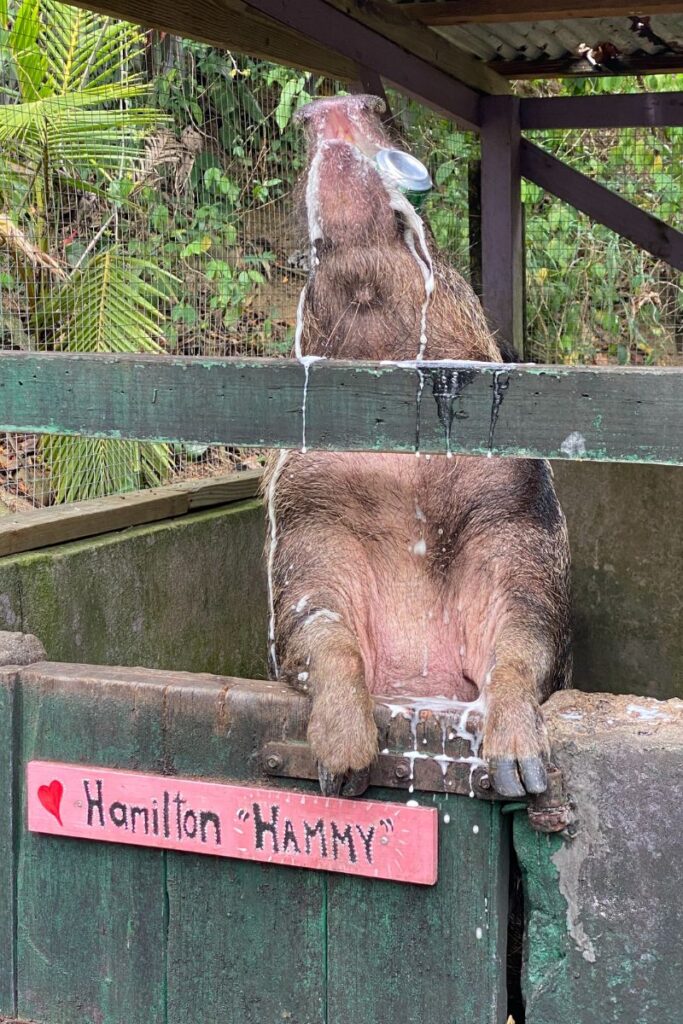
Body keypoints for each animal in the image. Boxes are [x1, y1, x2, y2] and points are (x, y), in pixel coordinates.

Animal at [263, 95, 571, 799]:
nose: (334, 104)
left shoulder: (518, 511)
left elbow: (524, 632)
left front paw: (521, 777)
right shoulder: (303, 517)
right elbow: (317, 624)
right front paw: (342, 772)